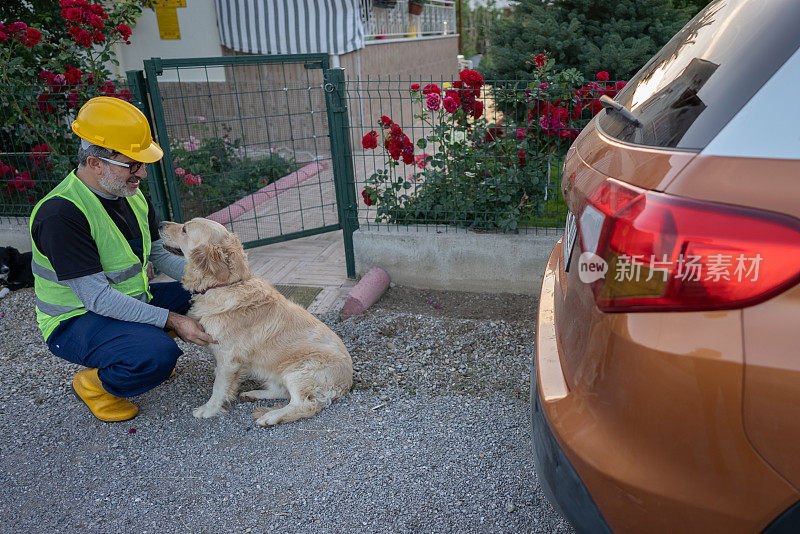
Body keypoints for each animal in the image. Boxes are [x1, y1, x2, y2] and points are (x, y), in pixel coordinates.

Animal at [159, 218, 354, 428]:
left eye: (184, 229)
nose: (160, 224)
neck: (225, 285)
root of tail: (348, 381)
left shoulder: (228, 357)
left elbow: (218, 386)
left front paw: (208, 409)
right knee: (281, 391)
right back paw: (253, 394)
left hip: (297, 371)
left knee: (305, 404)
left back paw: (271, 416)